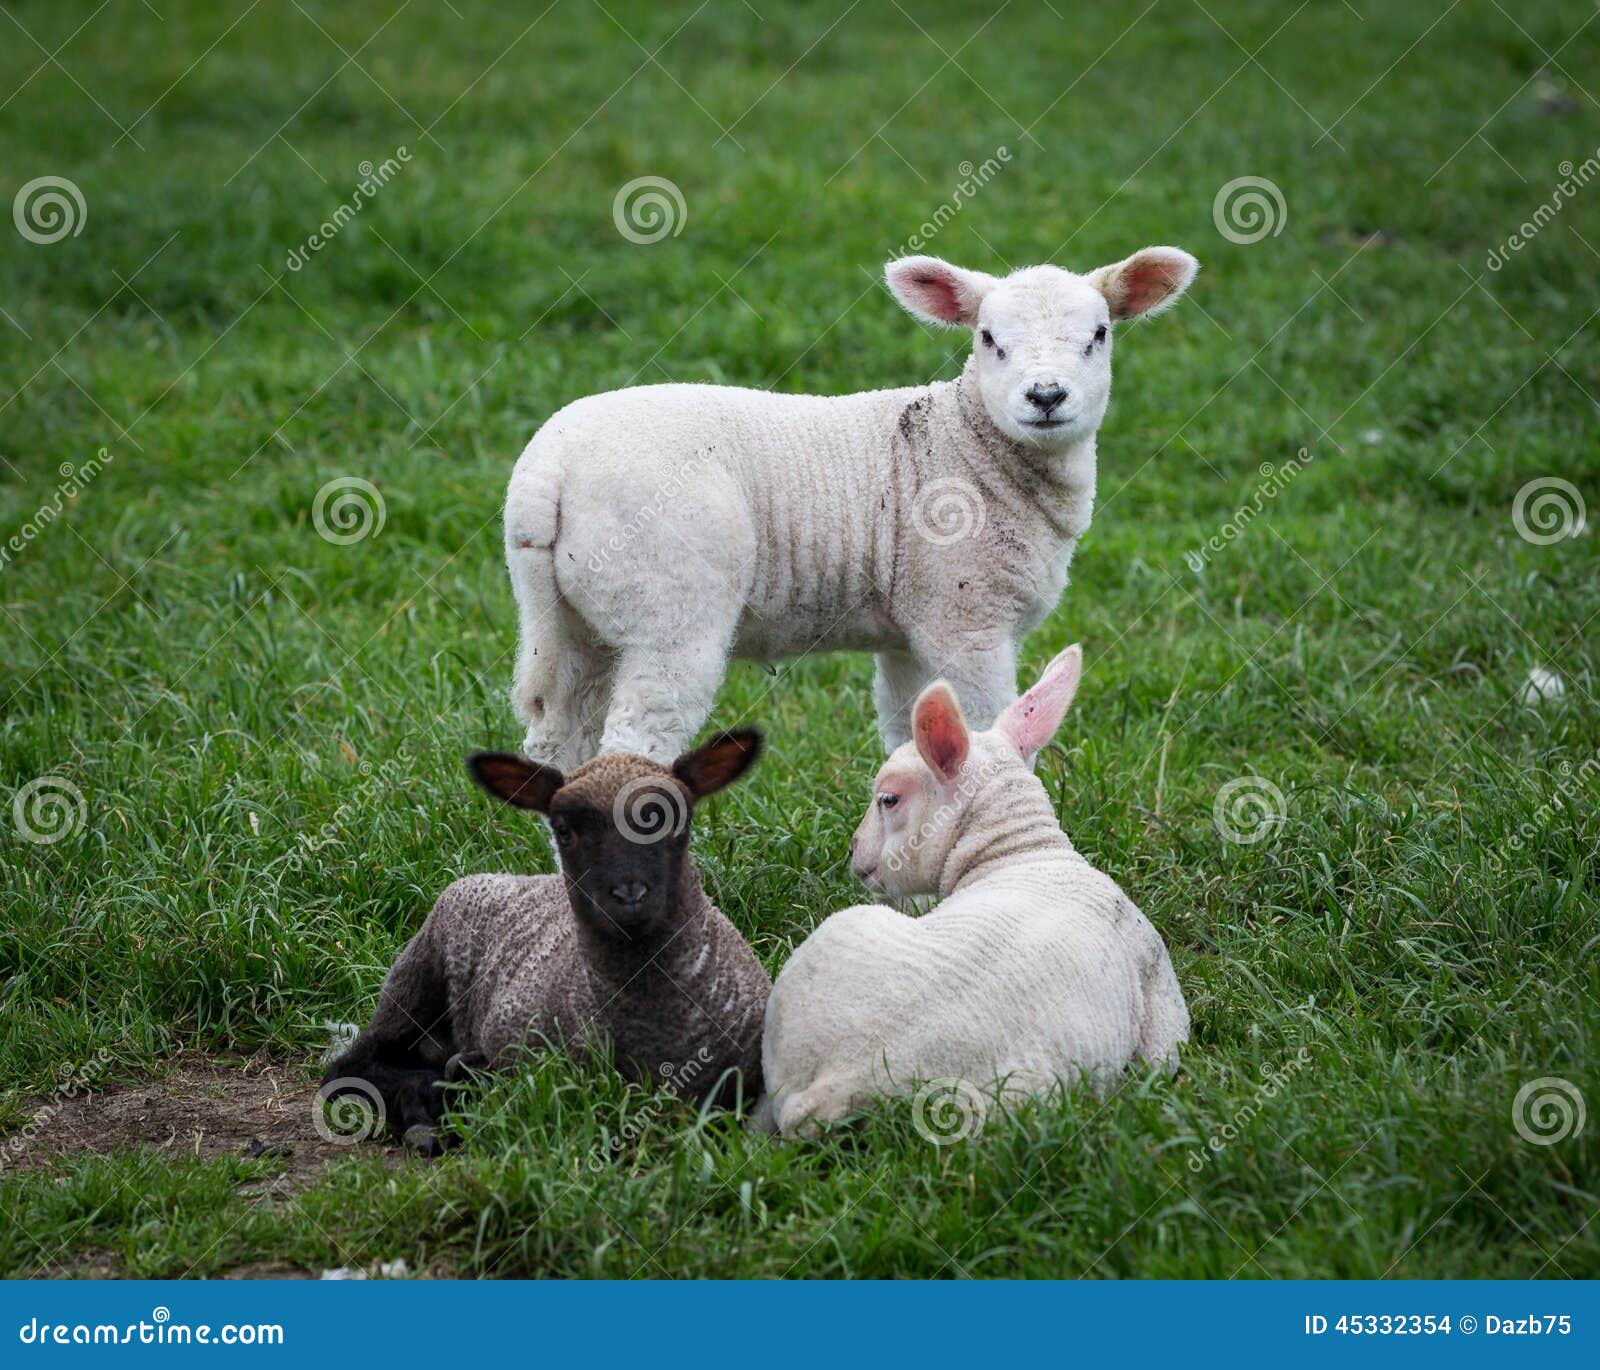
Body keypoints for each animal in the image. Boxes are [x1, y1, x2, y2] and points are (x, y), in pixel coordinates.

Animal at [321, 730, 770, 1154]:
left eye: (680, 822)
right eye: (564, 830)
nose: (628, 896)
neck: (654, 1032)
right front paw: (449, 1088)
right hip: (416, 977)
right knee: (350, 1066)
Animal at [505, 248, 1198, 769]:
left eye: (1099, 335)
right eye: (988, 339)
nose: (1047, 395)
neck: (970, 444)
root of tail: (547, 471)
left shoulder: (911, 628)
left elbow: (910, 735)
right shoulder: (966, 617)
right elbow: (991, 733)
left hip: (571, 620)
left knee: (558, 741)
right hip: (668, 602)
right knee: (634, 740)